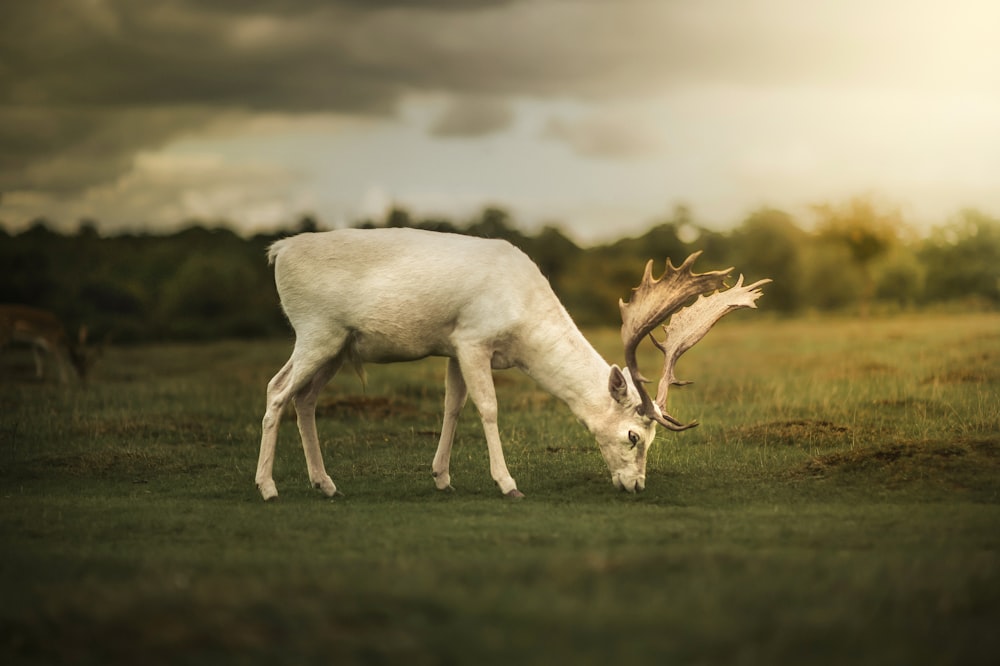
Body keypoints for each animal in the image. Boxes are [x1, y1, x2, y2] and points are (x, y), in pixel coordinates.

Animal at [254, 228, 768, 498]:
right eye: (633, 436)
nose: (636, 485)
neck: (523, 327)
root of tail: (278, 251)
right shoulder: (473, 339)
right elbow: (487, 408)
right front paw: (507, 483)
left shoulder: (454, 347)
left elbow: (452, 406)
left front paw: (441, 478)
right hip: (315, 330)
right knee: (277, 390)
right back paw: (268, 487)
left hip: (338, 346)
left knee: (304, 399)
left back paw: (325, 483)